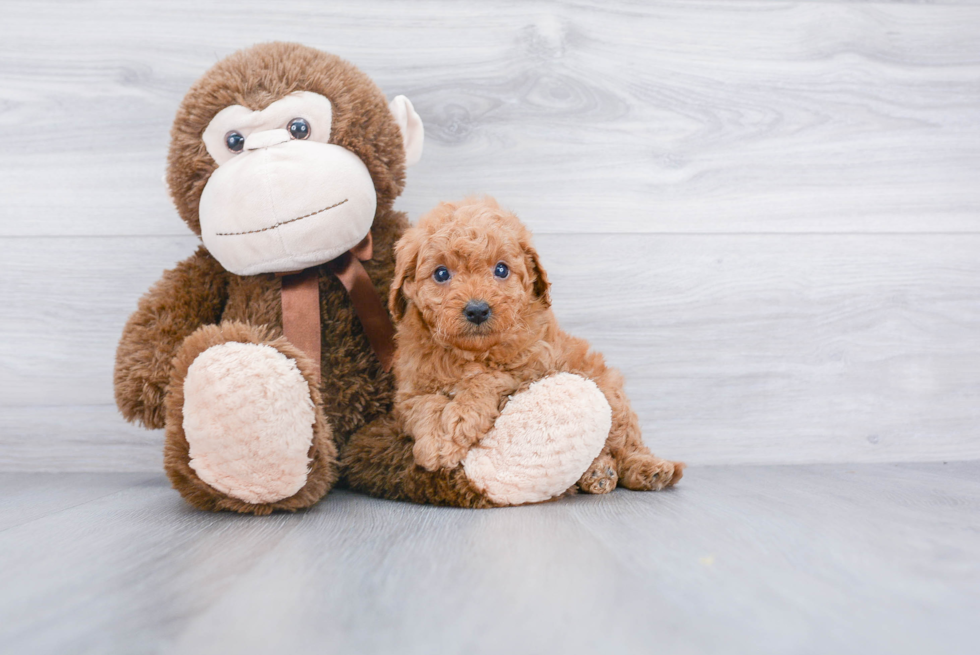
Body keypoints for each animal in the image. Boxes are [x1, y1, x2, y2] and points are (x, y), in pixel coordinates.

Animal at [388, 197, 680, 494]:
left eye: (501, 269)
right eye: (441, 274)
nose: (478, 310)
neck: (473, 353)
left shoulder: (532, 369)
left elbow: (487, 379)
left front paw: (459, 419)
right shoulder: (409, 391)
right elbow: (425, 405)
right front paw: (436, 442)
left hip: (609, 393)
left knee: (625, 443)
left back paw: (648, 469)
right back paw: (599, 472)